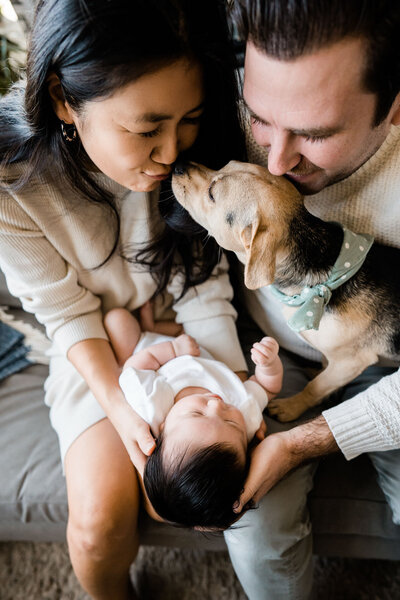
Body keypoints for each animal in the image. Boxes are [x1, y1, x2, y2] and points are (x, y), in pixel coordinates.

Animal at [171, 159, 400, 422]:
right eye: (225, 165)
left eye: (211, 193)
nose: (177, 165)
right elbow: (324, 369)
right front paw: (318, 374)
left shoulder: (351, 361)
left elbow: (316, 387)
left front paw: (291, 406)